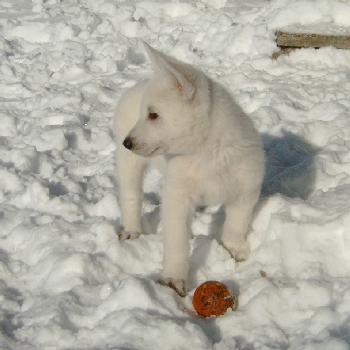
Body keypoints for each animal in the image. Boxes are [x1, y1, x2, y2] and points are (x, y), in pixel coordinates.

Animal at [115, 43, 266, 296]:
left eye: (153, 115)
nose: (128, 142)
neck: (206, 151)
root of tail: (136, 85)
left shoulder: (246, 190)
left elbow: (236, 224)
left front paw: (233, 248)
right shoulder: (176, 196)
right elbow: (177, 241)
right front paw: (174, 279)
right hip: (129, 164)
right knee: (131, 196)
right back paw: (132, 230)